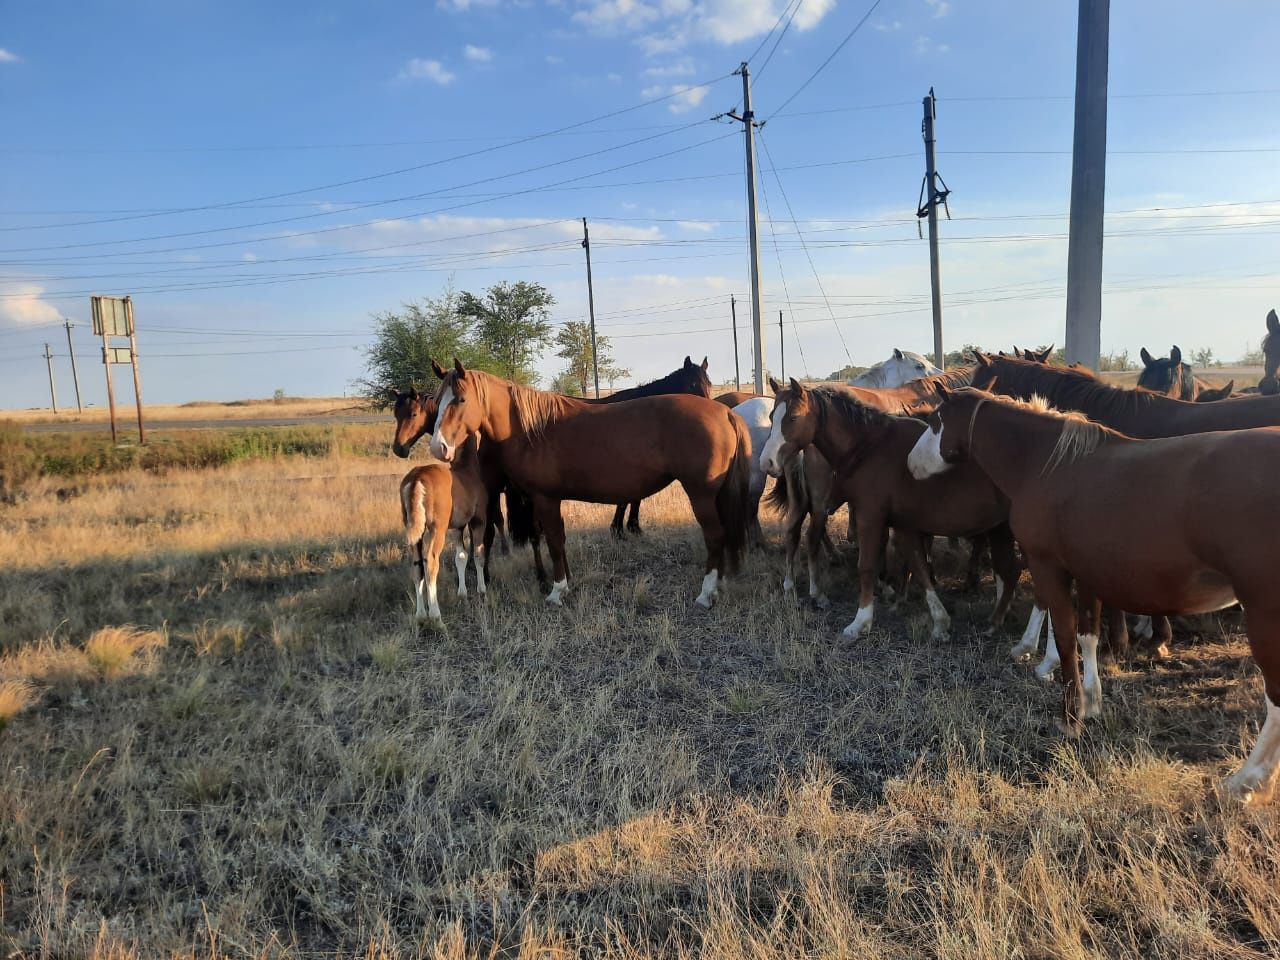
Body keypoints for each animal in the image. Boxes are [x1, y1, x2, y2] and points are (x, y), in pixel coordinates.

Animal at [430, 360, 747, 609]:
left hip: (701, 495)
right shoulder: (548, 499)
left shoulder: (545, 499)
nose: (438, 447)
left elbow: (554, 542)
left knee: (715, 536)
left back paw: (706, 594)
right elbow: (559, 540)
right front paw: (565, 583)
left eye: (460, 400)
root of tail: (724, 412)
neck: (531, 429)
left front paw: (557, 591)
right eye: (437, 401)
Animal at [757, 378, 1018, 642]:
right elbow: (918, 566)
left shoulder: (871, 517)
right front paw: (939, 621)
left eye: (793, 417)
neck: (869, 446)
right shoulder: (903, 524)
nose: (766, 462)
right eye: (771, 416)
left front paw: (861, 621)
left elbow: (869, 566)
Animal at [911, 386, 1280, 808]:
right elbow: (1087, 635)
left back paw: (1247, 780)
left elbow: (1066, 639)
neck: (1045, 463)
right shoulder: (1087, 573)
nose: (910, 465)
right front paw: (1092, 702)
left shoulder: (1049, 567)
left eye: (936, 420)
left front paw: (1070, 718)